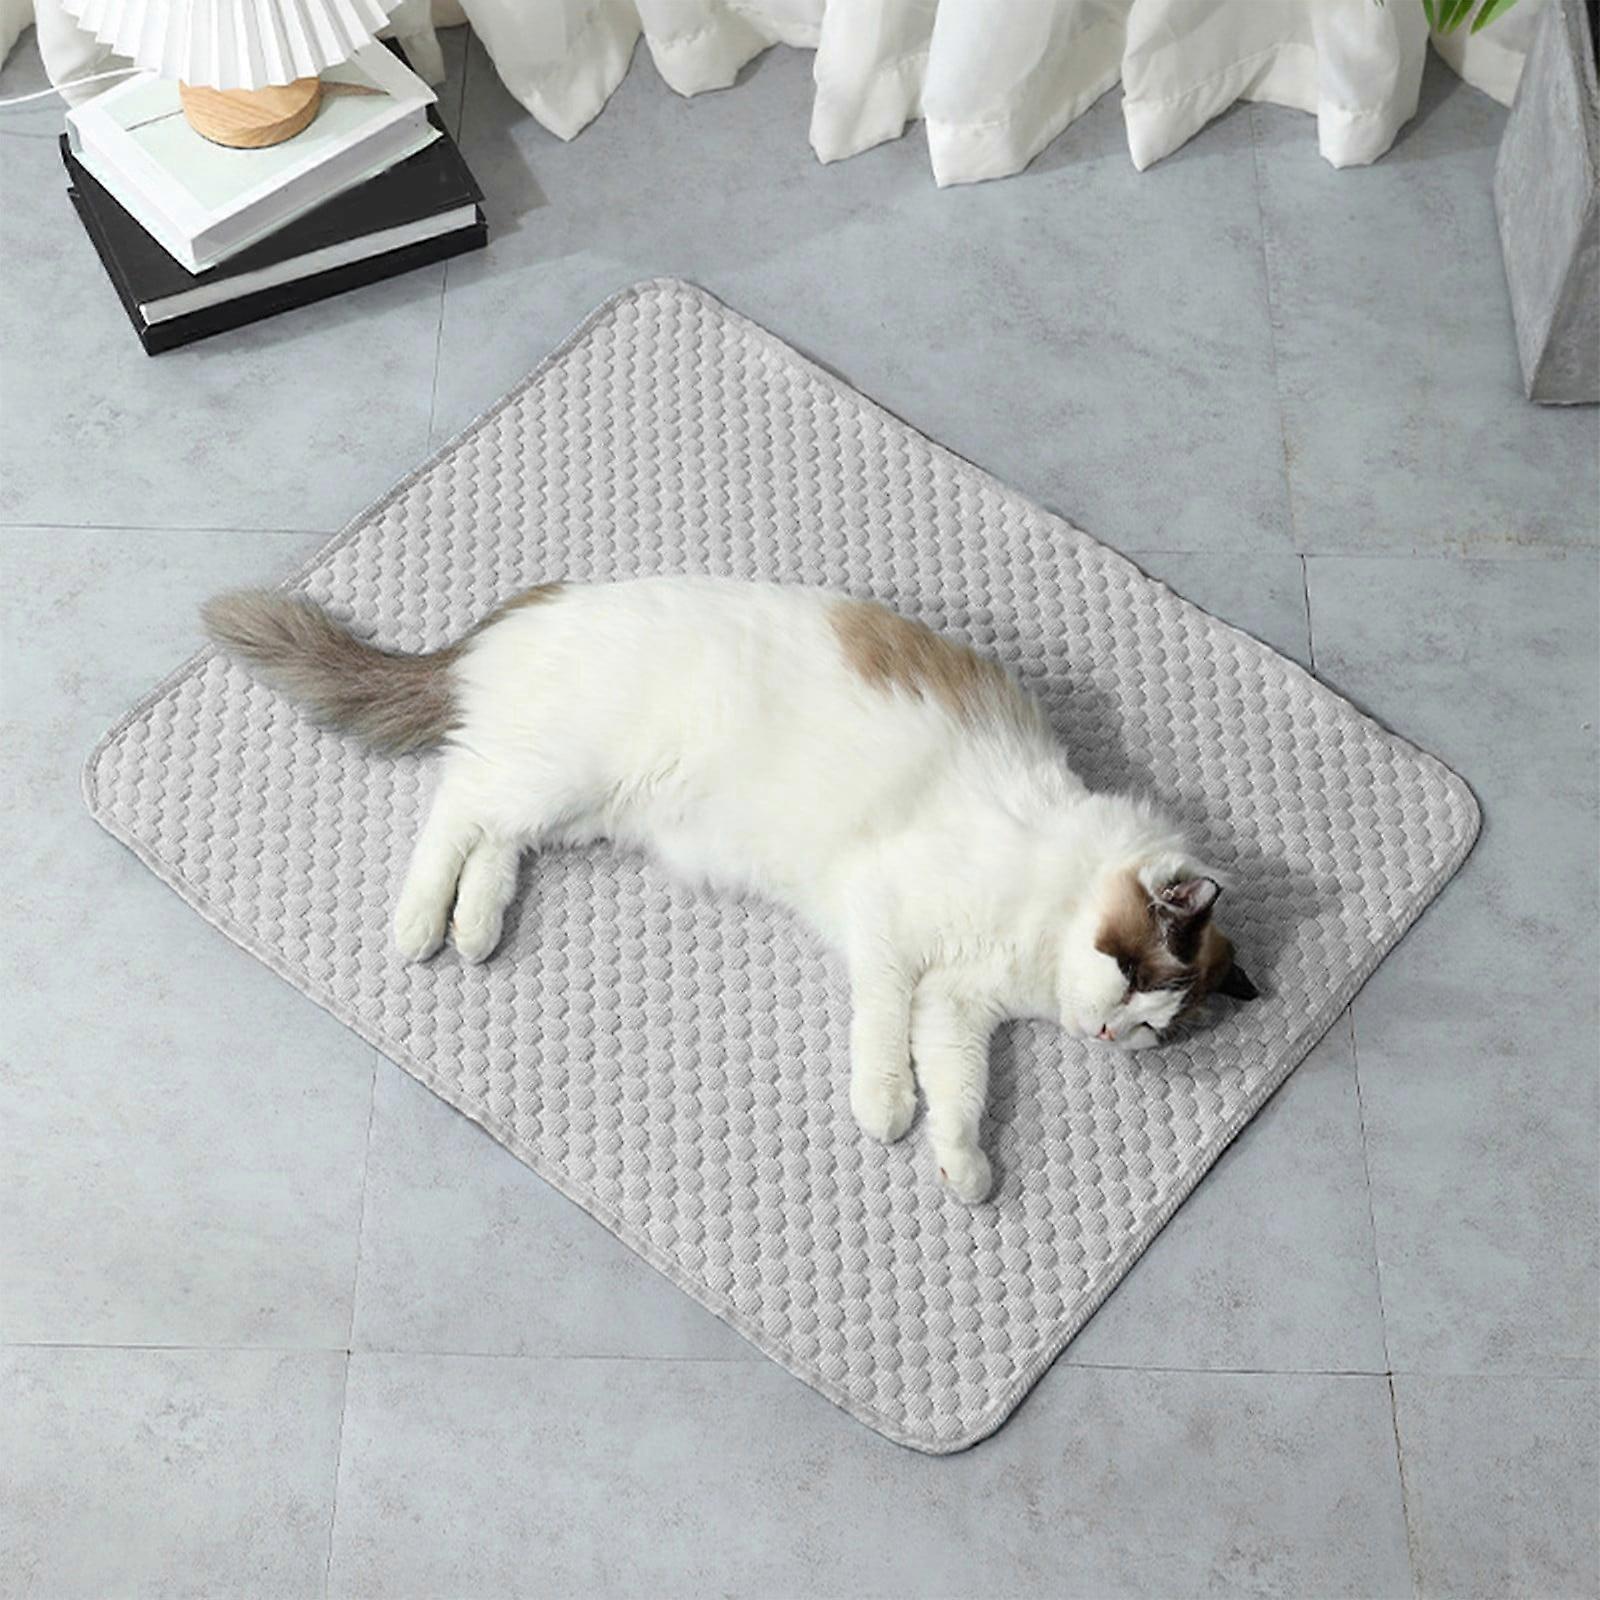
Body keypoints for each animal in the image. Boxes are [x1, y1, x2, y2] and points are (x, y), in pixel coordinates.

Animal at [203, 575, 1257, 1204]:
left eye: (1158, 1027)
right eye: (1131, 978)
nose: (1112, 1035)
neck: (1041, 917)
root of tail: (533, 604)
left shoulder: (959, 1007)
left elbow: (960, 1091)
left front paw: (963, 1168)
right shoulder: (890, 932)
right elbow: (887, 1042)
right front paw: (886, 1112)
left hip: (578, 803)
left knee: (494, 833)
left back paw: (474, 930)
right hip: (565, 774)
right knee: (458, 801)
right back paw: (422, 925)